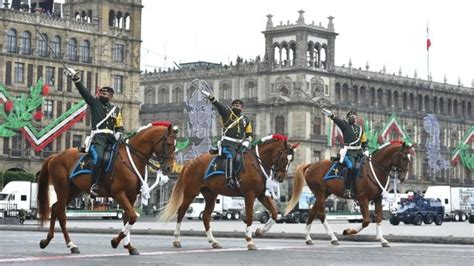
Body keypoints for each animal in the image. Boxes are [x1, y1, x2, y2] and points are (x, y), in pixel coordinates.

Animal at [36, 121, 178, 255]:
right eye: (169, 144)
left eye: (175, 146)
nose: (169, 168)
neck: (131, 158)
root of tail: (56, 156)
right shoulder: (119, 194)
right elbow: (133, 217)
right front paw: (115, 241)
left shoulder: (131, 196)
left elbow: (128, 218)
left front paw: (129, 246)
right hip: (62, 188)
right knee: (61, 213)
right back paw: (70, 244)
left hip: (74, 189)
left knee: (55, 208)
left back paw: (48, 241)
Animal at [161, 134, 298, 250]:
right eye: (283, 157)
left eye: (291, 160)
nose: (280, 177)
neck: (257, 163)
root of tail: (190, 162)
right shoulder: (249, 195)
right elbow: (249, 216)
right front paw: (250, 241)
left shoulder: (261, 195)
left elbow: (274, 214)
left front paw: (260, 231)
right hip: (191, 192)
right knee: (181, 212)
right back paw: (176, 240)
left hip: (210, 195)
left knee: (206, 216)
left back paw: (213, 241)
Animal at [284, 141, 412, 247]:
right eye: (404, 157)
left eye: (411, 159)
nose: (403, 177)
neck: (374, 170)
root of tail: (312, 165)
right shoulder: (362, 199)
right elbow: (366, 221)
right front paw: (348, 231)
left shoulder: (378, 199)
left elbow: (379, 218)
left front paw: (382, 239)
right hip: (320, 193)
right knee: (321, 214)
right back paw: (333, 238)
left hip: (324, 194)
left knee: (312, 212)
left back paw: (308, 238)